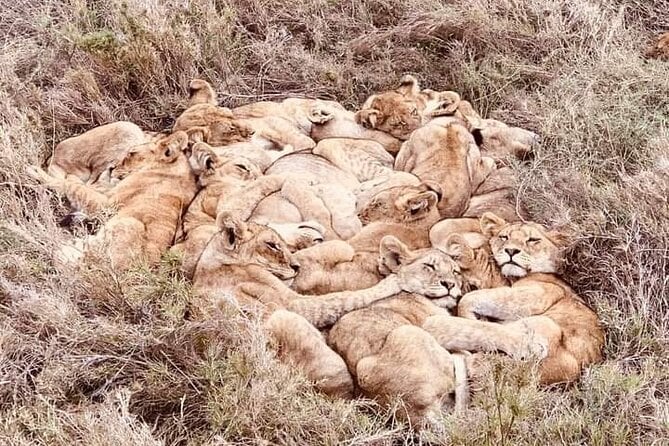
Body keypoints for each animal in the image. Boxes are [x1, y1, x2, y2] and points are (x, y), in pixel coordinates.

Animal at [28, 131, 196, 270]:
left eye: (131, 153)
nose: (111, 167)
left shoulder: (106, 204)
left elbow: (73, 187)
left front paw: (38, 173)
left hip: (130, 223)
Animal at [422, 213, 604, 384]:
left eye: (533, 240)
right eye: (505, 237)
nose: (511, 251)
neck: (510, 277)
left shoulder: (545, 291)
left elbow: (470, 299)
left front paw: (470, 314)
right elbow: (440, 227)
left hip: (546, 326)